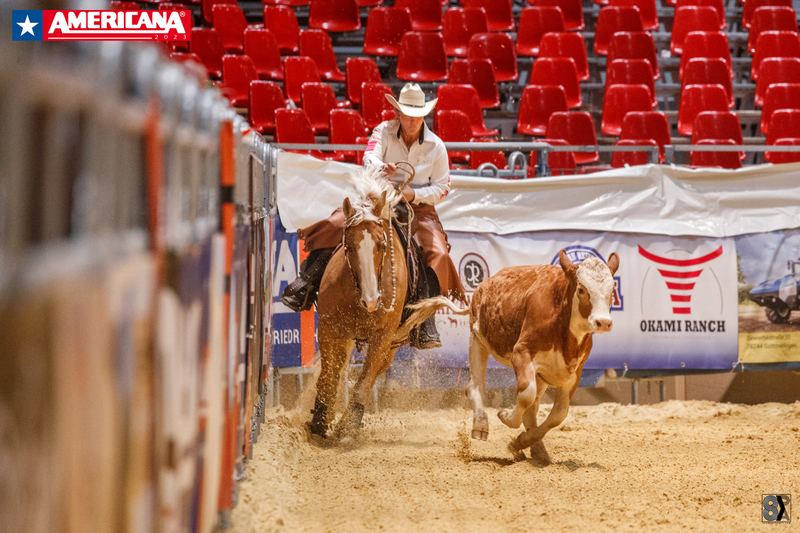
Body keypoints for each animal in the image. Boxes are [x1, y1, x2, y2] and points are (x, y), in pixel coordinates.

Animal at [309, 165, 466, 440]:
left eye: (382, 245)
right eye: (348, 246)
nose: (371, 301)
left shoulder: (382, 338)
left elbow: (363, 383)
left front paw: (347, 425)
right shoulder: (329, 330)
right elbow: (328, 376)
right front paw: (319, 420)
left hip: (391, 345)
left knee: (370, 377)